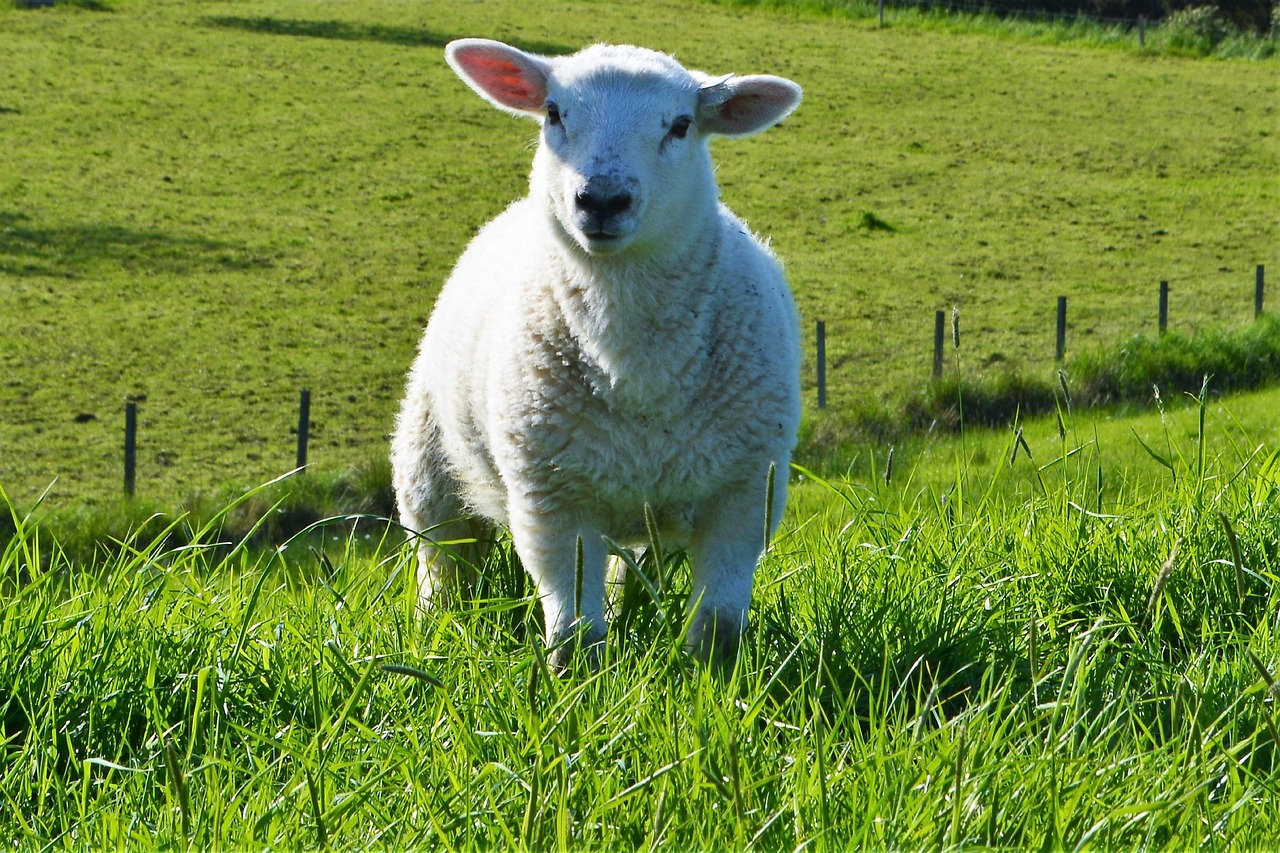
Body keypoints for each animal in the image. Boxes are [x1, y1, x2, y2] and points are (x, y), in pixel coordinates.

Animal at [391, 38, 798, 666]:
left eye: (681, 125)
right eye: (554, 113)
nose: (602, 199)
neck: (637, 372)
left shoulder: (746, 493)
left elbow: (718, 627)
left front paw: (713, 681)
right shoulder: (549, 500)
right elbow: (574, 631)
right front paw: (577, 684)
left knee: (626, 570)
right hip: (426, 455)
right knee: (440, 556)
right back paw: (435, 629)